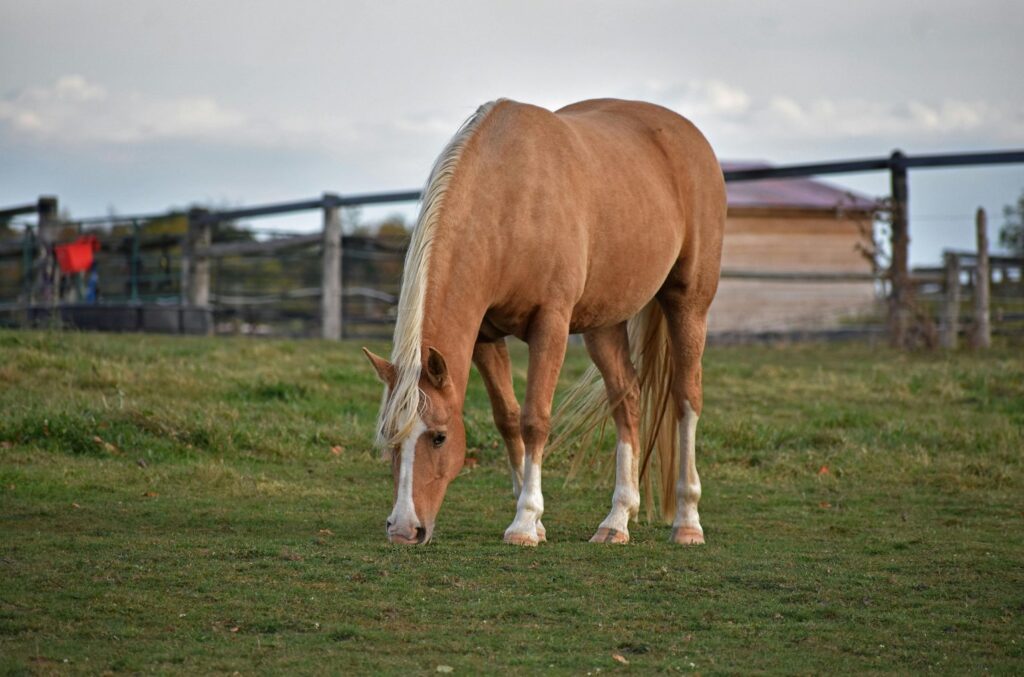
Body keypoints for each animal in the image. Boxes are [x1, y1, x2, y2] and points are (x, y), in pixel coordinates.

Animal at [363, 98, 725, 546]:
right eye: (389, 436)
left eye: (439, 437)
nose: (403, 529)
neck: (509, 198)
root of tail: (690, 136)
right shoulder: (484, 336)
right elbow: (508, 418)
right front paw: (534, 519)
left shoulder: (550, 324)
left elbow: (535, 419)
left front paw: (524, 522)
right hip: (603, 324)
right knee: (627, 398)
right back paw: (617, 520)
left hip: (688, 304)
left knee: (687, 399)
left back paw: (688, 522)